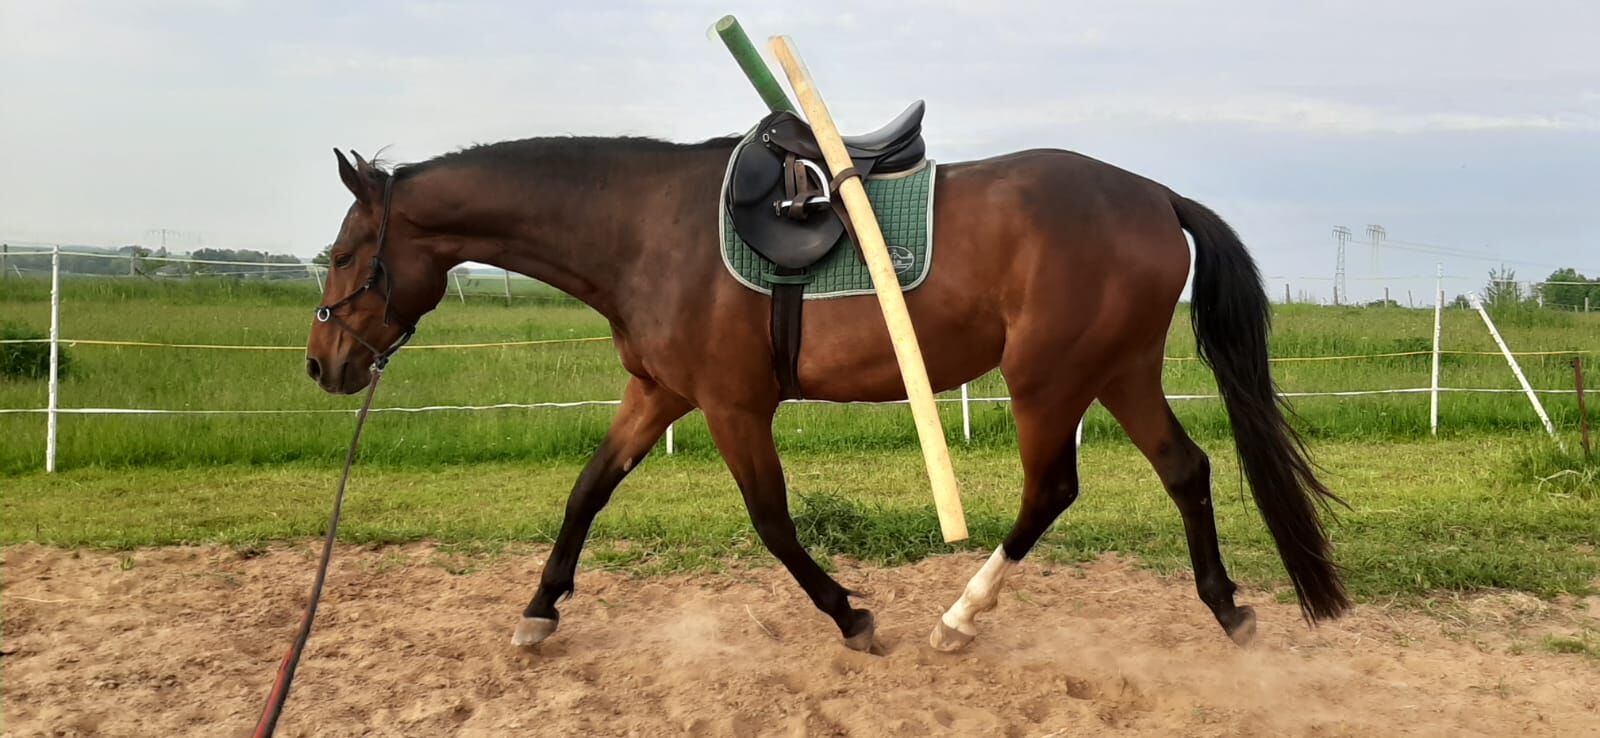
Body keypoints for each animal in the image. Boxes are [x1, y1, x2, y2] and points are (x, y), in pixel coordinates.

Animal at [303, 130, 1349, 655]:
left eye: (347, 254)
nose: (322, 365)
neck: (646, 227)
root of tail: (1154, 194)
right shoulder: (657, 396)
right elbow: (585, 492)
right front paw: (538, 611)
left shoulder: (732, 409)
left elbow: (772, 524)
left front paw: (852, 615)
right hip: (1117, 371)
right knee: (1187, 469)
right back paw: (1226, 607)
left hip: (1048, 381)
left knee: (1052, 490)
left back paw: (960, 618)